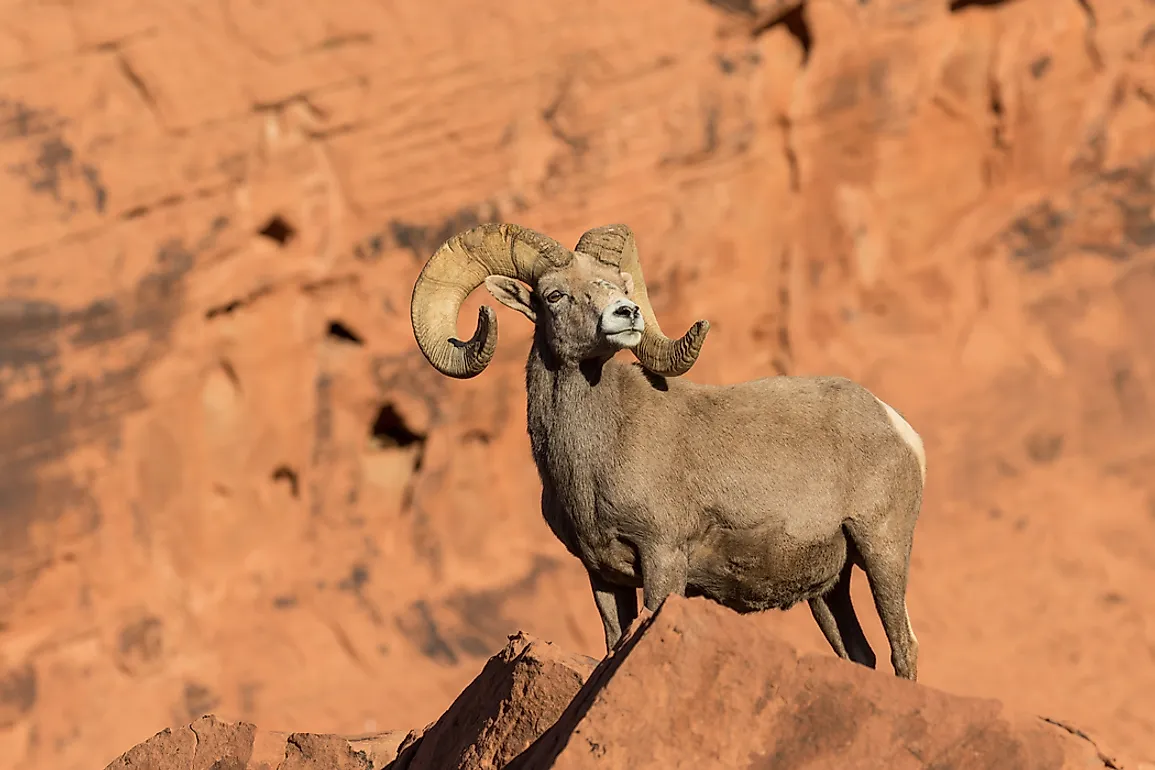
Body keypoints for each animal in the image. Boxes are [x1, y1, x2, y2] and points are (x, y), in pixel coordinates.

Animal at [411, 222, 924, 678]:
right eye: (553, 295)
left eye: (621, 284)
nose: (627, 313)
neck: (594, 460)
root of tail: (896, 425)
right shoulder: (603, 576)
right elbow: (613, 645)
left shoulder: (664, 559)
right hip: (828, 591)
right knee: (861, 656)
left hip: (882, 549)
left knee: (903, 648)